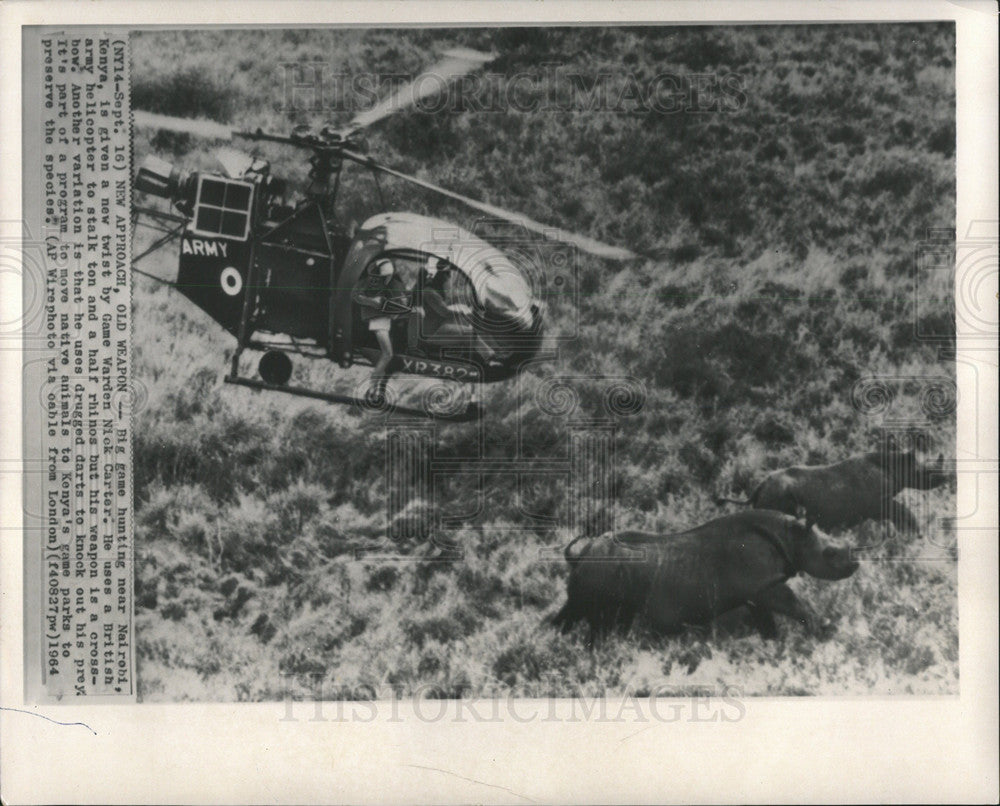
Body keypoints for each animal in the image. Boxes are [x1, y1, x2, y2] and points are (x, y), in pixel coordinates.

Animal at [552, 512, 856, 644]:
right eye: (830, 553)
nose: (854, 563)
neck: (790, 536)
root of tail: (582, 555)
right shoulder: (764, 585)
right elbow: (795, 604)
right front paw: (825, 631)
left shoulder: (756, 593)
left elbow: (767, 623)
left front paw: (773, 648)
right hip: (600, 573)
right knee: (594, 619)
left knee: (591, 615)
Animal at [720, 448, 944, 536]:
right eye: (923, 473)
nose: (943, 479)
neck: (895, 465)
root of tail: (758, 488)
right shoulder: (878, 503)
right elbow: (903, 511)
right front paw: (916, 534)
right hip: (777, 494)